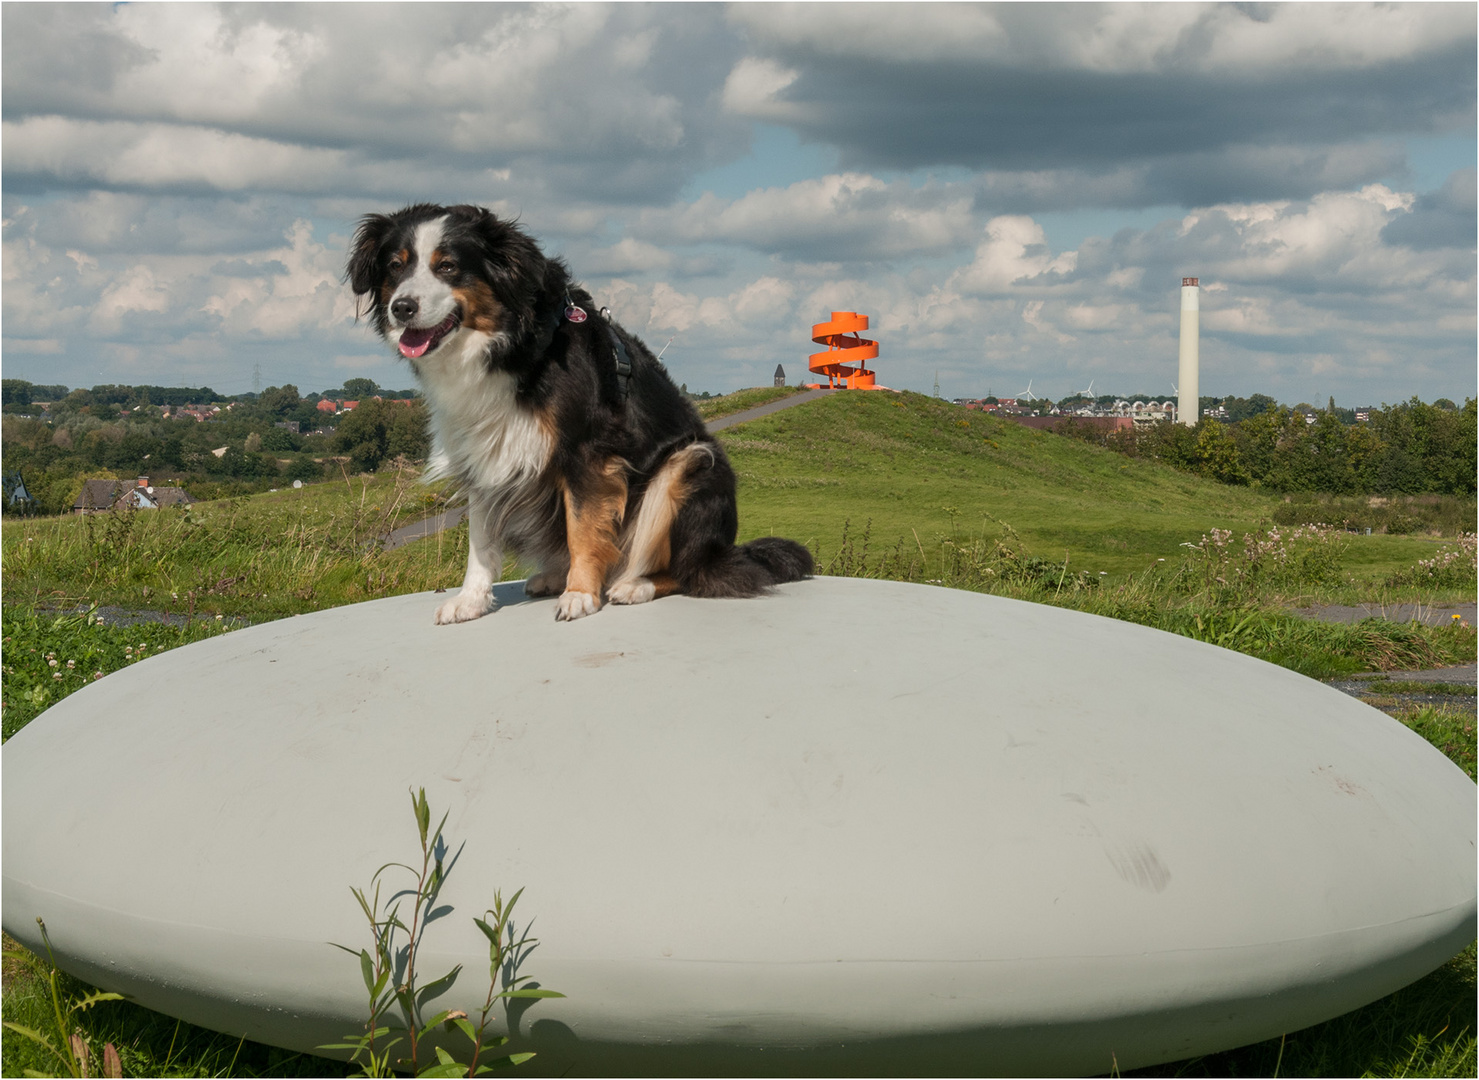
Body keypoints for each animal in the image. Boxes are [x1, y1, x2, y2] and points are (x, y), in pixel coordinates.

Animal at [346, 204, 816, 621]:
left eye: (447, 267)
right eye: (395, 267)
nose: (401, 308)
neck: (511, 345)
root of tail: (724, 551)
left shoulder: (587, 452)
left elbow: (583, 529)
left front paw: (581, 594)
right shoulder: (482, 450)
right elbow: (481, 538)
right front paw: (471, 601)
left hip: (691, 463)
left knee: (686, 570)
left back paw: (633, 584)